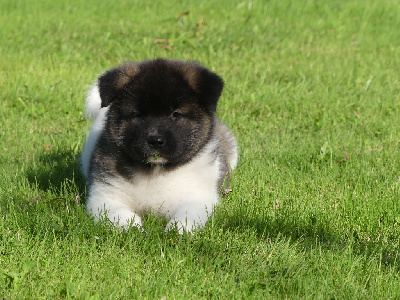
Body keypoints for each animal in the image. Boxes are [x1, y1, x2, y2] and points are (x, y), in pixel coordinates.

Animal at [81, 58, 238, 232]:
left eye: (175, 114)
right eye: (137, 114)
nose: (155, 140)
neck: (155, 172)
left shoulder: (197, 197)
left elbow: (186, 216)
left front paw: (176, 232)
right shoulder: (105, 196)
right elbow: (122, 216)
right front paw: (134, 230)